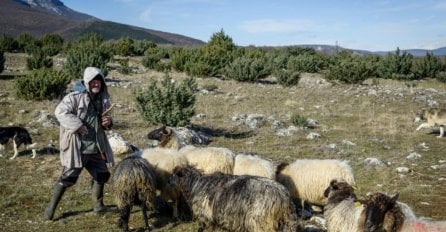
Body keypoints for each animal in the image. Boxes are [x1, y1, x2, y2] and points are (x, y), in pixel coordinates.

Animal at [169, 166, 302, 231]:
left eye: (174, 174)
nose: (168, 182)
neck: (195, 184)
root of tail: (284, 197)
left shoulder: (205, 215)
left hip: (261, 221)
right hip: (284, 222)